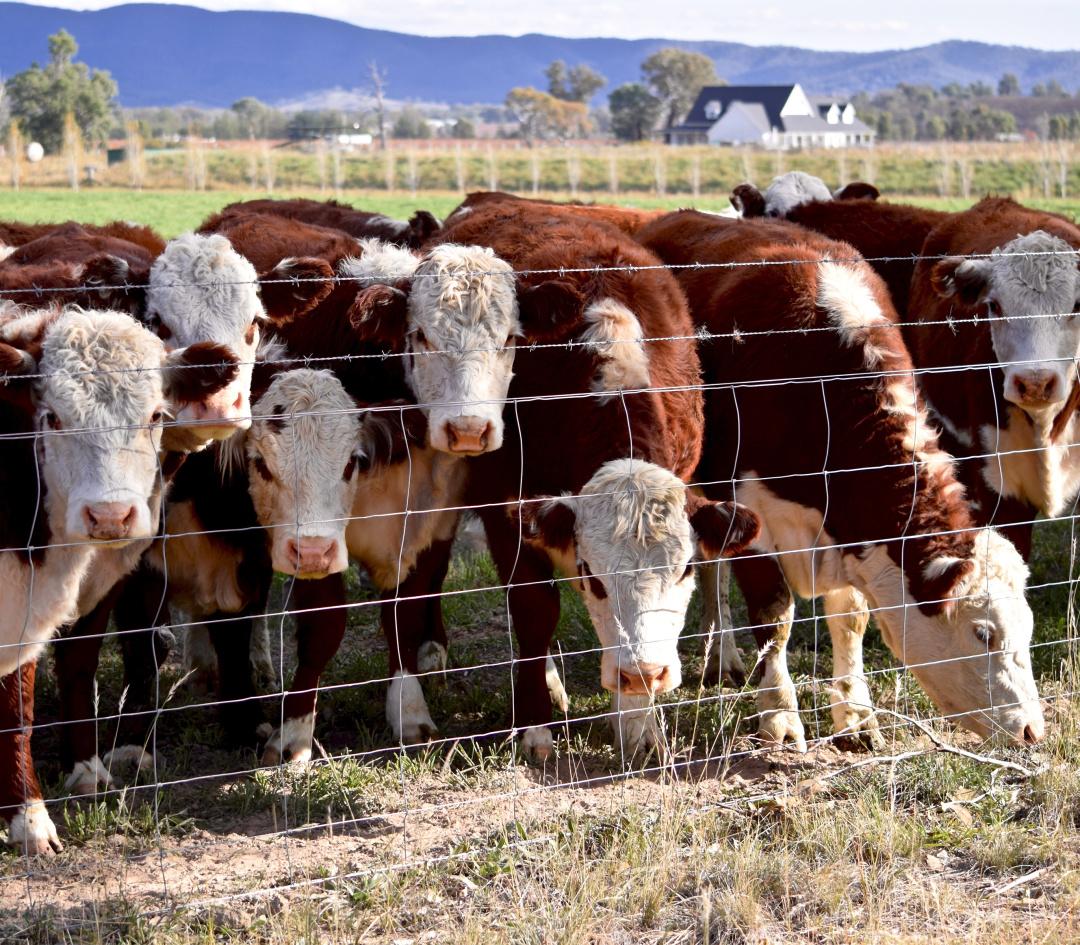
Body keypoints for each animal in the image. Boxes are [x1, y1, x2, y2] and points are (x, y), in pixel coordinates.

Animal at [0, 306, 237, 855]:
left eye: (155, 416)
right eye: (53, 418)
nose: (110, 516)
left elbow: (56, 680)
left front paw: (80, 774)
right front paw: (28, 820)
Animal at [635, 212, 1041, 756]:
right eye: (982, 634)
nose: (1033, 729)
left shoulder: (852, 536)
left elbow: (850, 617)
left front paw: (855, 716)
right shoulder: (754, 518)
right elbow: (774, 616)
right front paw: (780, 717)